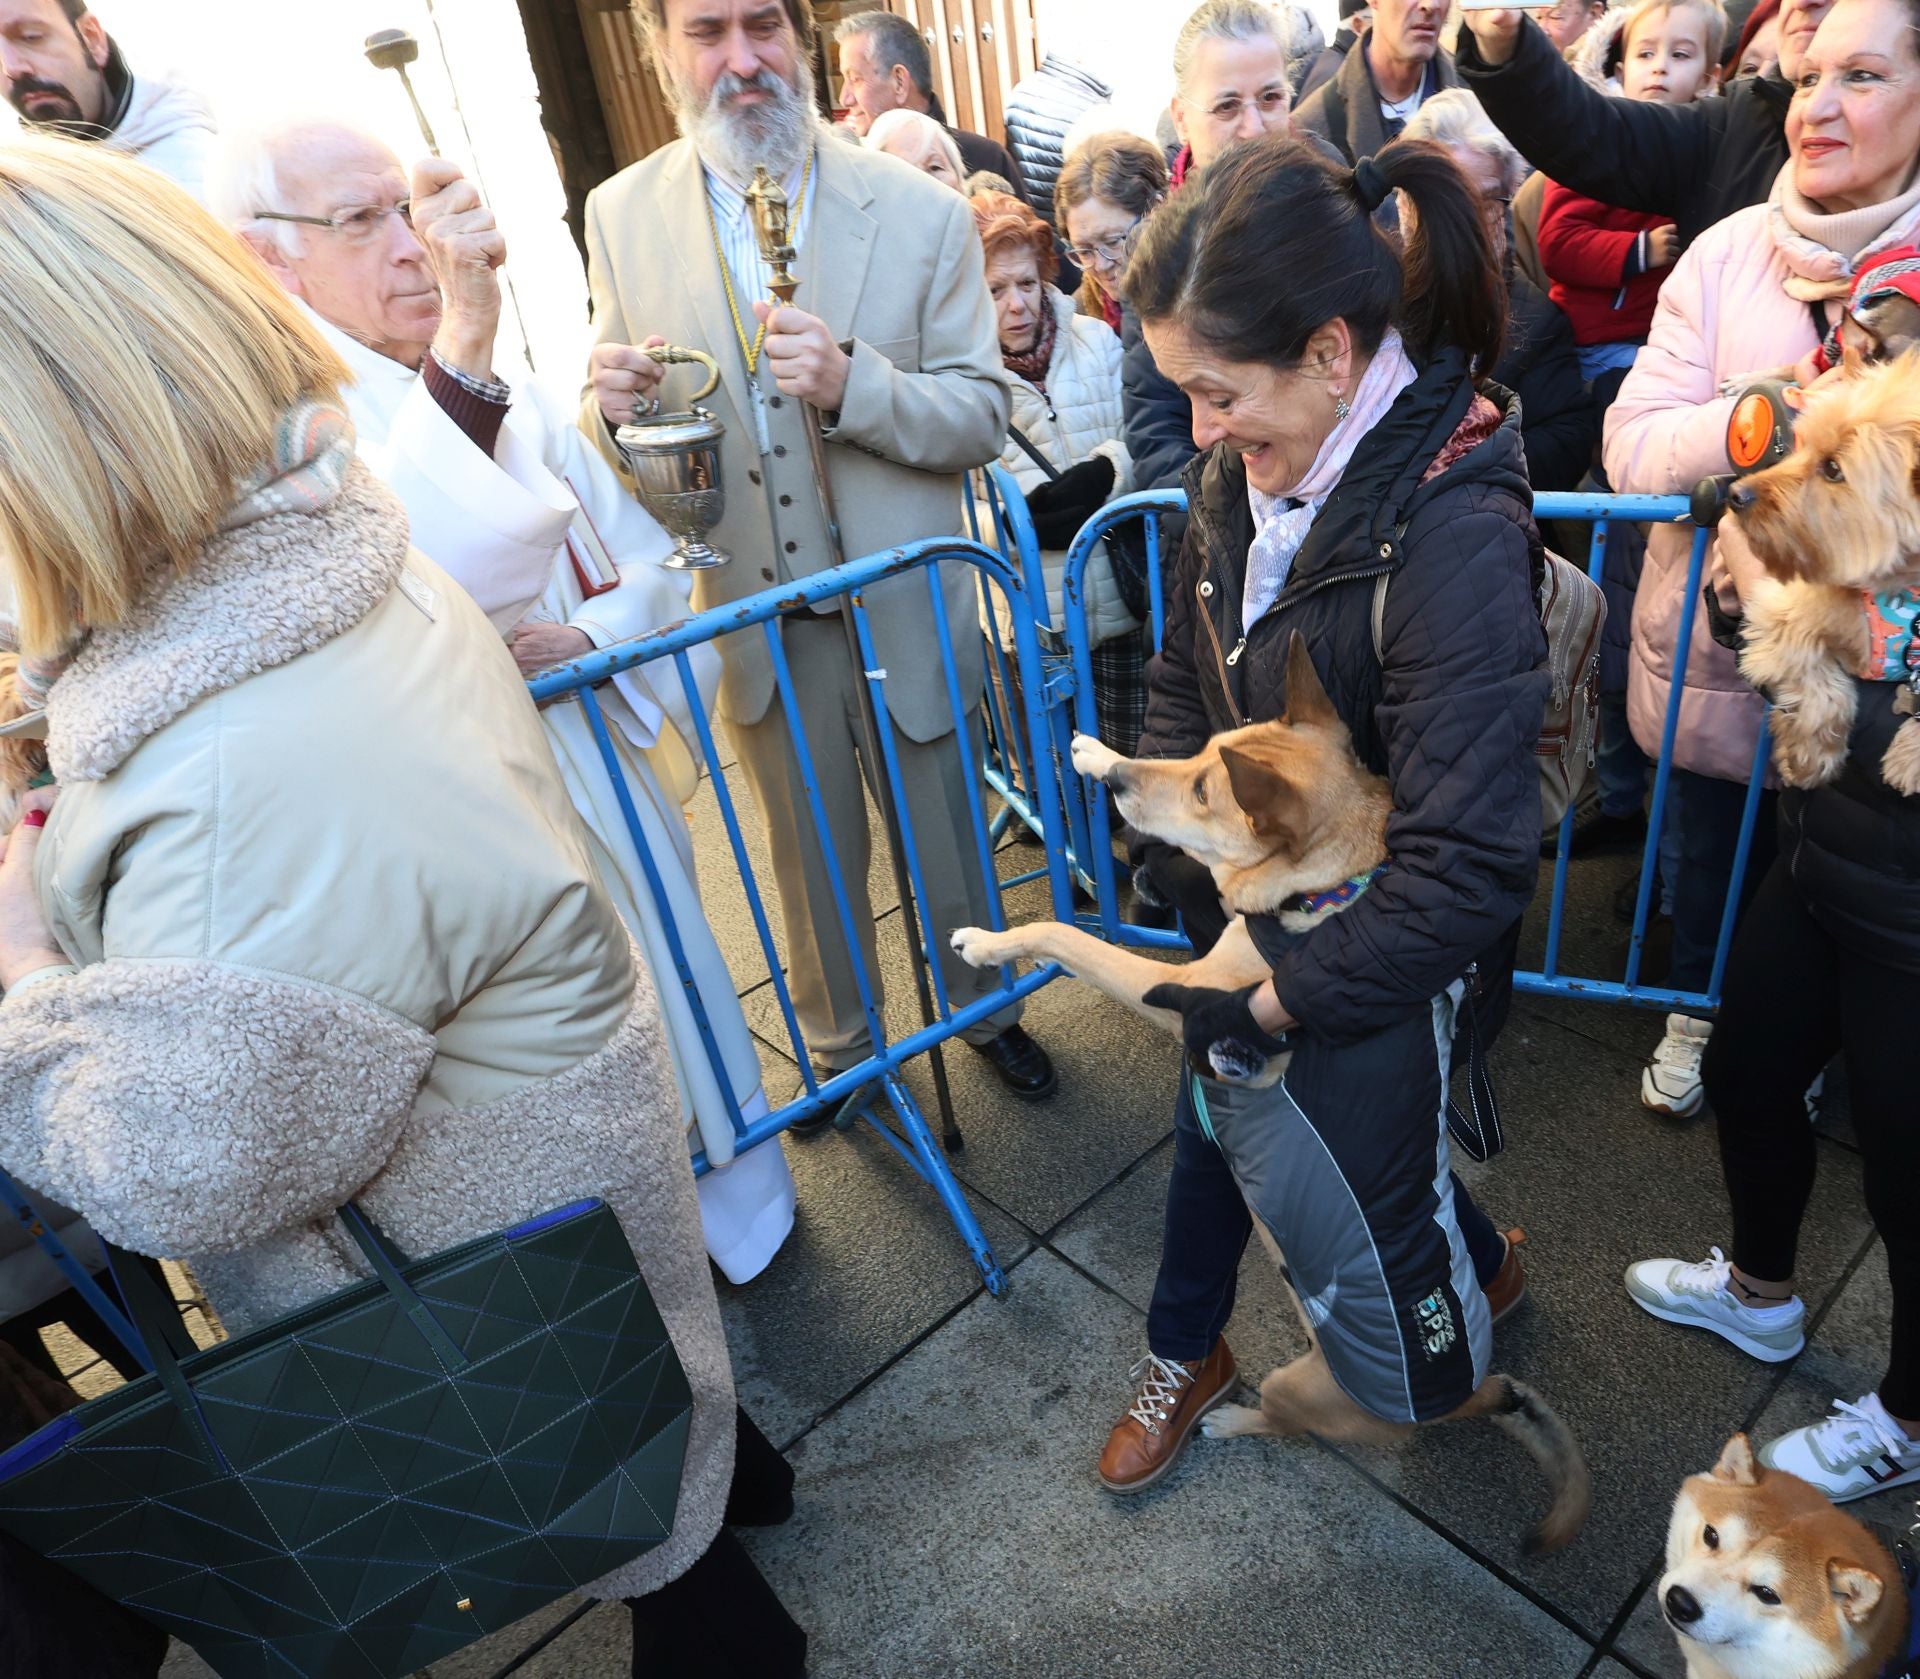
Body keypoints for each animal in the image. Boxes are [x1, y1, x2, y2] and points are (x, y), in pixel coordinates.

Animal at [944, 630, 1589, 1559]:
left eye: (1208, 793)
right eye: (1204, 754)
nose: (1117, 789)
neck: (1321, 895)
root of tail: (1462, 1395)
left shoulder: (1180, 993)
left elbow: (1069, 934)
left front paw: (992, 940)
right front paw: (1096, 749)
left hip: (1296, 1384)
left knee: (1287, 1424)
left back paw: (1228, 1421)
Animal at [1728, 347, 1920, 791]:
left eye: (1833, 468)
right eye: (1799, 444)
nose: (1735, 495)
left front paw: (1911, 755)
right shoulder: (1782, 609)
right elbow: (1820, 690)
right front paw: (1808, 760)